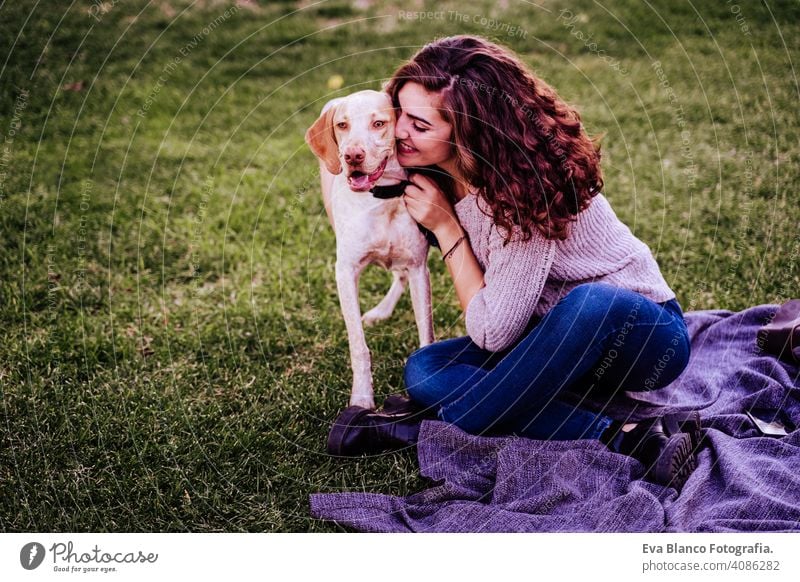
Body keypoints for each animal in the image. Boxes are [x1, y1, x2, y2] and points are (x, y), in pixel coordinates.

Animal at [304, 90, 432, 410]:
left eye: (379, 123)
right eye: (342, 125)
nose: (352, 156)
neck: (383, 199)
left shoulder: (418, 267)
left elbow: (427, 335)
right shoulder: (345, 273)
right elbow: (358, 347)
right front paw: (361, 398)